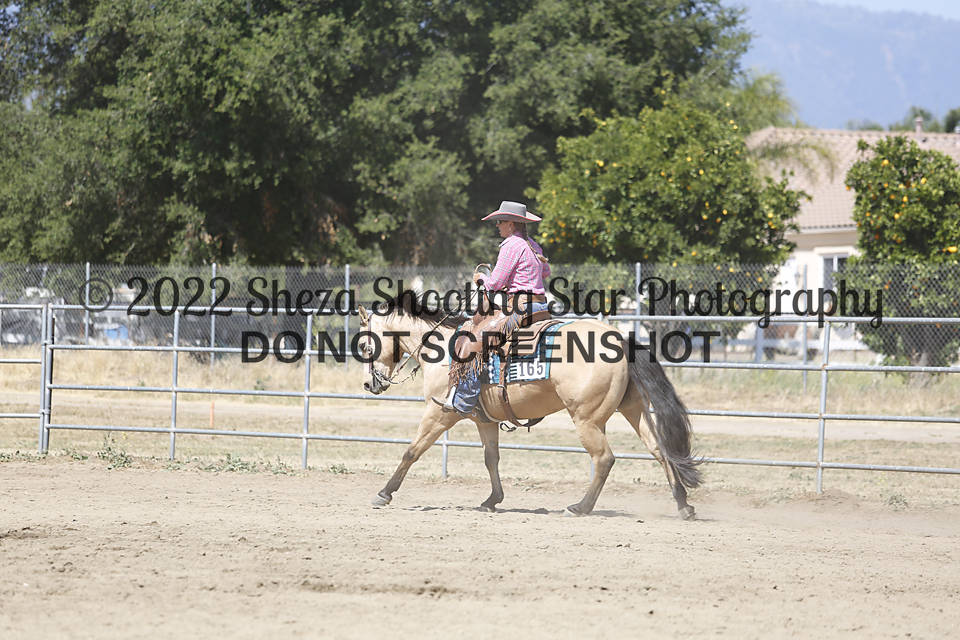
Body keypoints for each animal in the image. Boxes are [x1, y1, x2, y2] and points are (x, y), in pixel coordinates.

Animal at [357, 295, 701, 519]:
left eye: (362, 344)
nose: (369, 385)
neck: (442, 348)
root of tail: (619, 339)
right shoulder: (485, 421)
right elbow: (491, 459)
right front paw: (492, 499)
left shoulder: (441, 413)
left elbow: (411, 451)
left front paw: (384, 493)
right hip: (634, 409)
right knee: (660, 451)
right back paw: (683, 505)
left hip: (587, 419)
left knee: (604, 459)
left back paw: (580, 507)